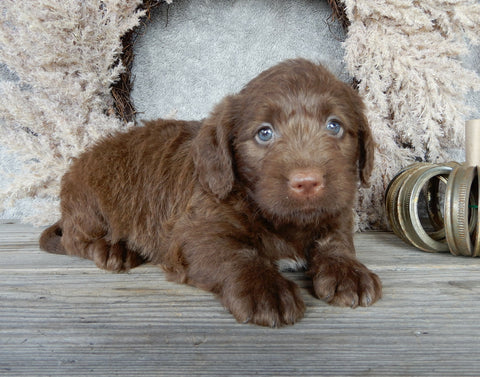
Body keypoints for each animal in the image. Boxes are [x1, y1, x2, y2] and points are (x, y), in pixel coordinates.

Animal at [39, 58, 380, 326]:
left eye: (334, 126)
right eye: (264, 133)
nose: (307, 182)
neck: (282, 221)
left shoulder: (335, 213)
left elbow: (336, 241)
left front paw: (347, 270)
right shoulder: (194, 231)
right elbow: (234, 254)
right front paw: (266, 288)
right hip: (89, 202)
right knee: (74, 241)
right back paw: (113, 249)